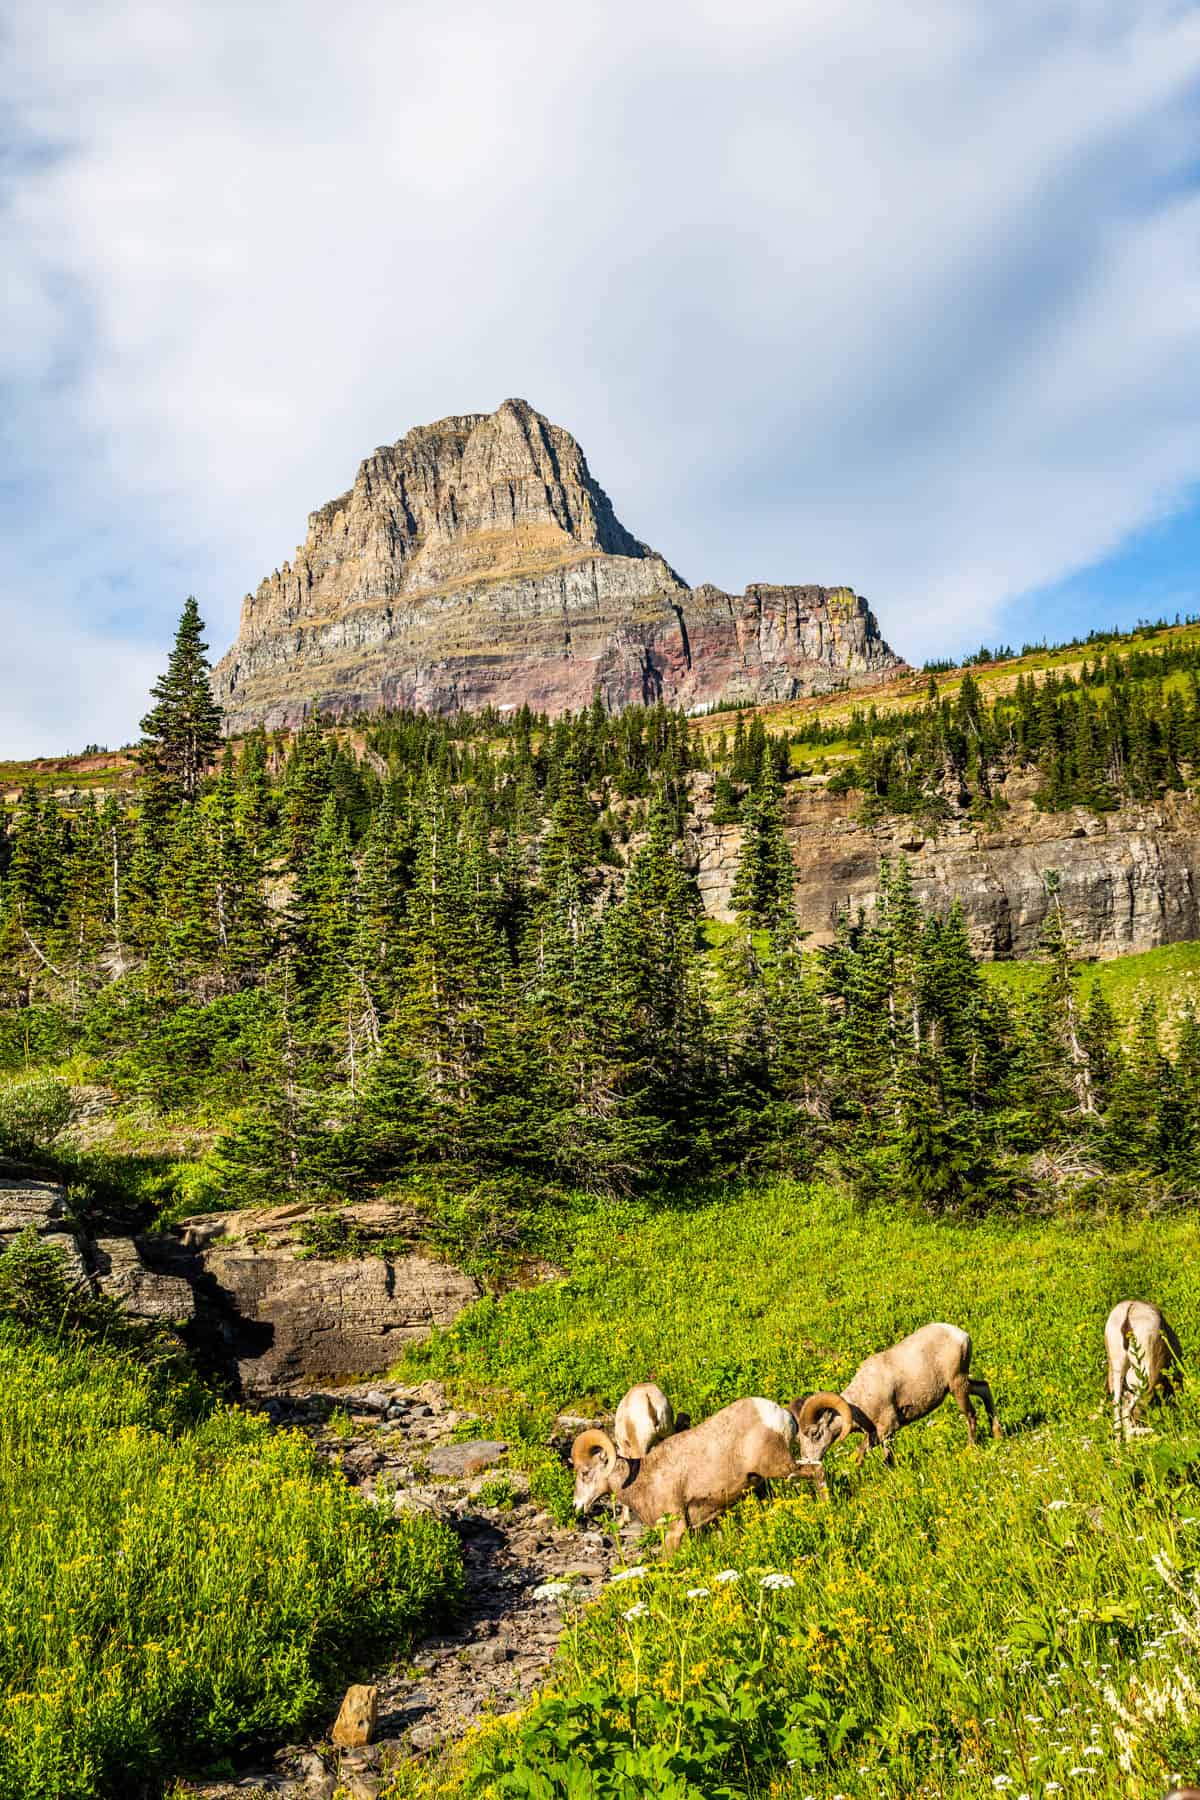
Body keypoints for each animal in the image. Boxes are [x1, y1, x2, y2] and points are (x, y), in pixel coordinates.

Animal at [572, 1396, 816, 1555]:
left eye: (585, 1473)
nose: (577, 1505)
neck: (645, 1480)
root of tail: (781, 1415)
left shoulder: (674, 1530)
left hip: (780, 1466)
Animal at [791, 1324, 1000, 1461]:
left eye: (815, 1433)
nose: (808, 1461)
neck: (861, 1402)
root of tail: (961, 1335)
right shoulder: (874, 1434)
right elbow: (860, 1454)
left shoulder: (888, 1428)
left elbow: (887, 1459)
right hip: (961, 1383)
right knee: (985, 1389)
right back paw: (998, 1434)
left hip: (957, 1385)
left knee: (971, 1414)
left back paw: (971, 1447)